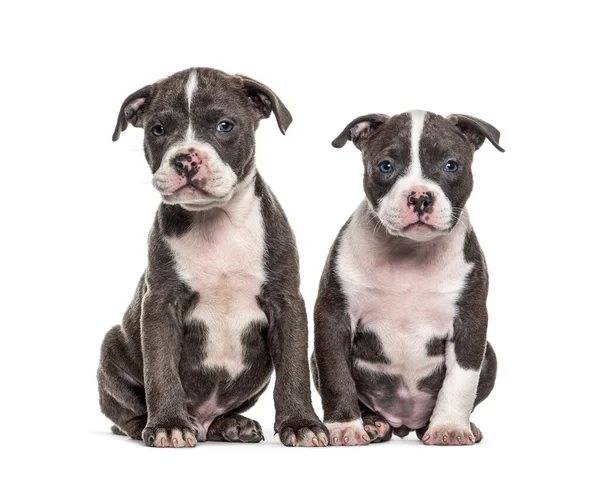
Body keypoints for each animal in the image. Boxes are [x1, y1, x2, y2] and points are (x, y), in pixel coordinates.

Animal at [96, 66, 326, 448]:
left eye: (225, 125)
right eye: (158, 129)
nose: (185, 158)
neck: (215, 220)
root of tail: (201, 422)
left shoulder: (286, 302)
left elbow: (294, 370)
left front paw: (302, 424)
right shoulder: (160, 305)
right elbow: (160, 369)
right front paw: (168, 424)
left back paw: (233, 424)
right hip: (112, 348)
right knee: (124, 414)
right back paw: (153, 424)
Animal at [312, 110, 504, 446]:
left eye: (451, 165)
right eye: (385, 166)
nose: (419, 197)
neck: (409, 252)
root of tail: (403, 423)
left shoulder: (471, 322)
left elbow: (461, 382)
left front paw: (450, 427)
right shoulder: (332, 317)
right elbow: (336, 376)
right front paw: (345, 427)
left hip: (489, 354)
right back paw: (372, 423)